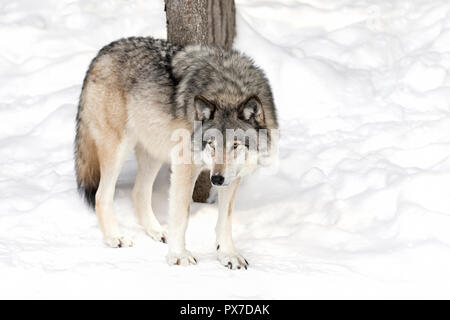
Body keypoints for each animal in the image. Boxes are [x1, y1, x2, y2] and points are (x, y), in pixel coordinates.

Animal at [74, 36, 278, 268]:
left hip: (153, 152)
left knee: (139, 192)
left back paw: (157, 231)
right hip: (118, 148)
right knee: (101, 195)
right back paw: (114, 237)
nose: (216, 179)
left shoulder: (232, 178)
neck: (228, 91)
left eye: (235, 145)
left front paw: (228, 255)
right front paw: (178, 255)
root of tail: (102, 52)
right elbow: (181, 216)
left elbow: (225, 220)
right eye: (211, 144)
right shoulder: (184, 167)